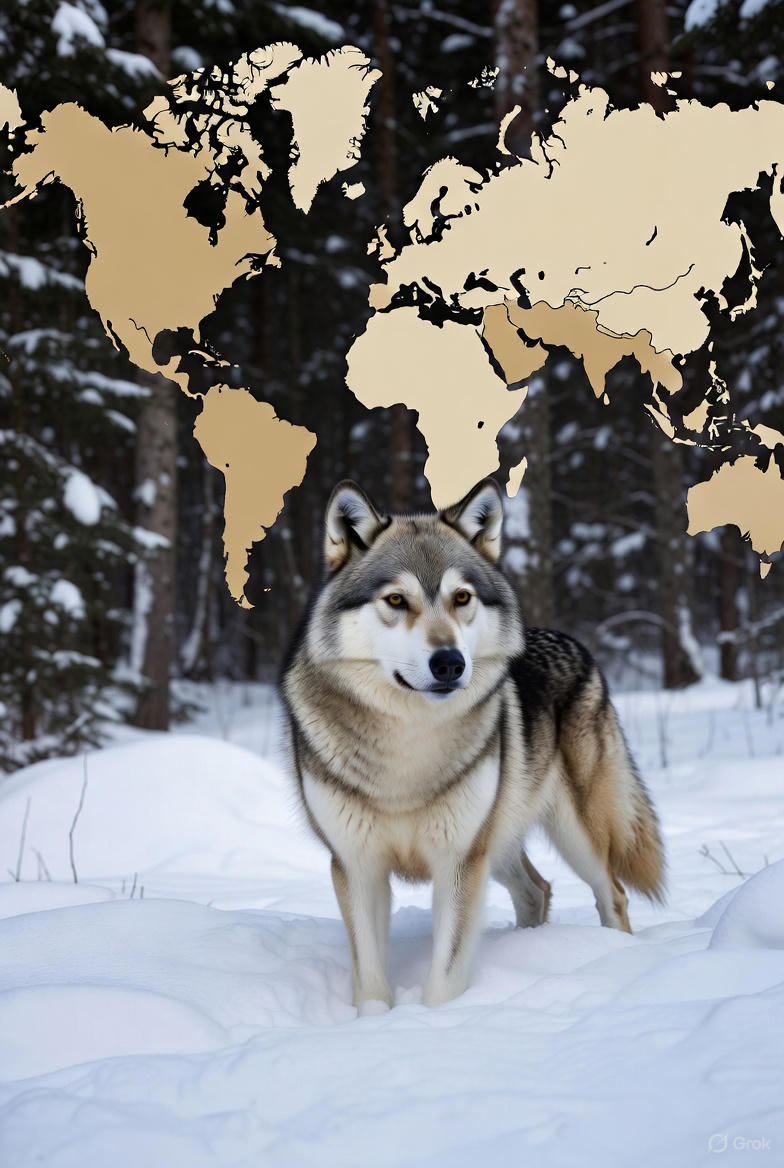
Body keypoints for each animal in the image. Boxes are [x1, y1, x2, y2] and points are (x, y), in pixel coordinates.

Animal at [280, 478, 664, 1009]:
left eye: (461, 597)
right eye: (396, 600)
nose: (449, 662)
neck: (407, 751)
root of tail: (575, 642)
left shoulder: (460, 862)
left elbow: (445, 977)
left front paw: (436, 1022)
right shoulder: (357, 867)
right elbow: (370, 979)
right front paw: (375, 1021)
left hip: (572, 836)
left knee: (614, 893)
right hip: (500, 843)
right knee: (538, 889)